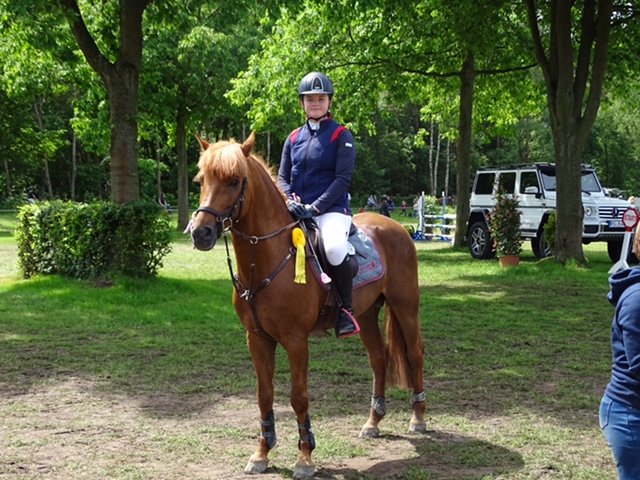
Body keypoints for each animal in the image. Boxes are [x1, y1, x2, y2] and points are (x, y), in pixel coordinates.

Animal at [192, 131, 428, 480]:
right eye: (201, 180)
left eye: (234, 181)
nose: (201, 233)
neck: (268, 258)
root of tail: (395, 227)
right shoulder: (257, 339)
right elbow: (265, 395)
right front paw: (261, 453)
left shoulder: (295, 340)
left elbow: (298, 397)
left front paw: (304, 458)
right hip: (365, 315)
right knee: (378, 359)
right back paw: (373, 422)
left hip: (405, 306)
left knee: (414, 354)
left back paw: (418, 418)